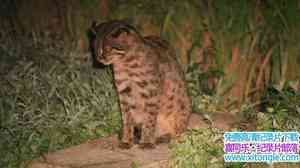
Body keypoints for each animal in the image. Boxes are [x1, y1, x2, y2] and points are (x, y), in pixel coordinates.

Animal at [90, 20, 191, 148]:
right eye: (95, 47)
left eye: (108, 48)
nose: (99, 58)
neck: (126, 64)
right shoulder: (124, 92)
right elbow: (127, 120)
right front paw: (126, 140)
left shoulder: (150, 92)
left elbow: (149, 120)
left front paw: (146, 142)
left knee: (178, 131)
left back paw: (164, 136)